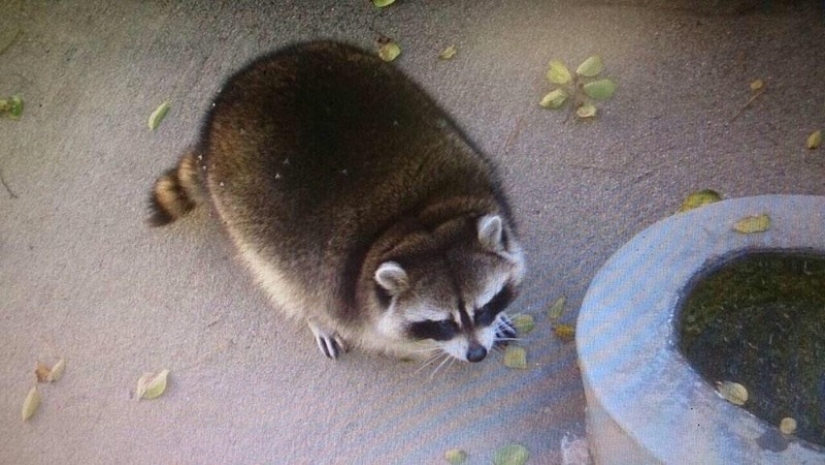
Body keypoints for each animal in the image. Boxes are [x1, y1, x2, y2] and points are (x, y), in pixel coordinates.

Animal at [149, 41, 525, 363]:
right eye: (443, 324)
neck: (418, 219)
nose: (477, 354)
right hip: (242, 214)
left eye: (484, 308)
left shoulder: (480, 181)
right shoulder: (335, 282)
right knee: (280, 278)